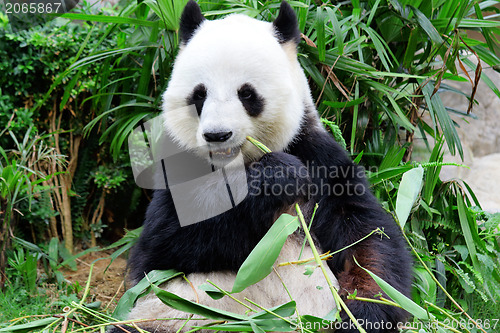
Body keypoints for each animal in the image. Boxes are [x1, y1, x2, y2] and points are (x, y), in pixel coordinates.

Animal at [111, 1, 412, 330]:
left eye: (247, 93)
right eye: (199, 94)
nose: (217, 135)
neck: (237, 164)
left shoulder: (316, 155)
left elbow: (366, 237)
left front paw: (364, 311)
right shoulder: (178, 162)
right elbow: (161, 244)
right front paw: (278, 175)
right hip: (168, 316)